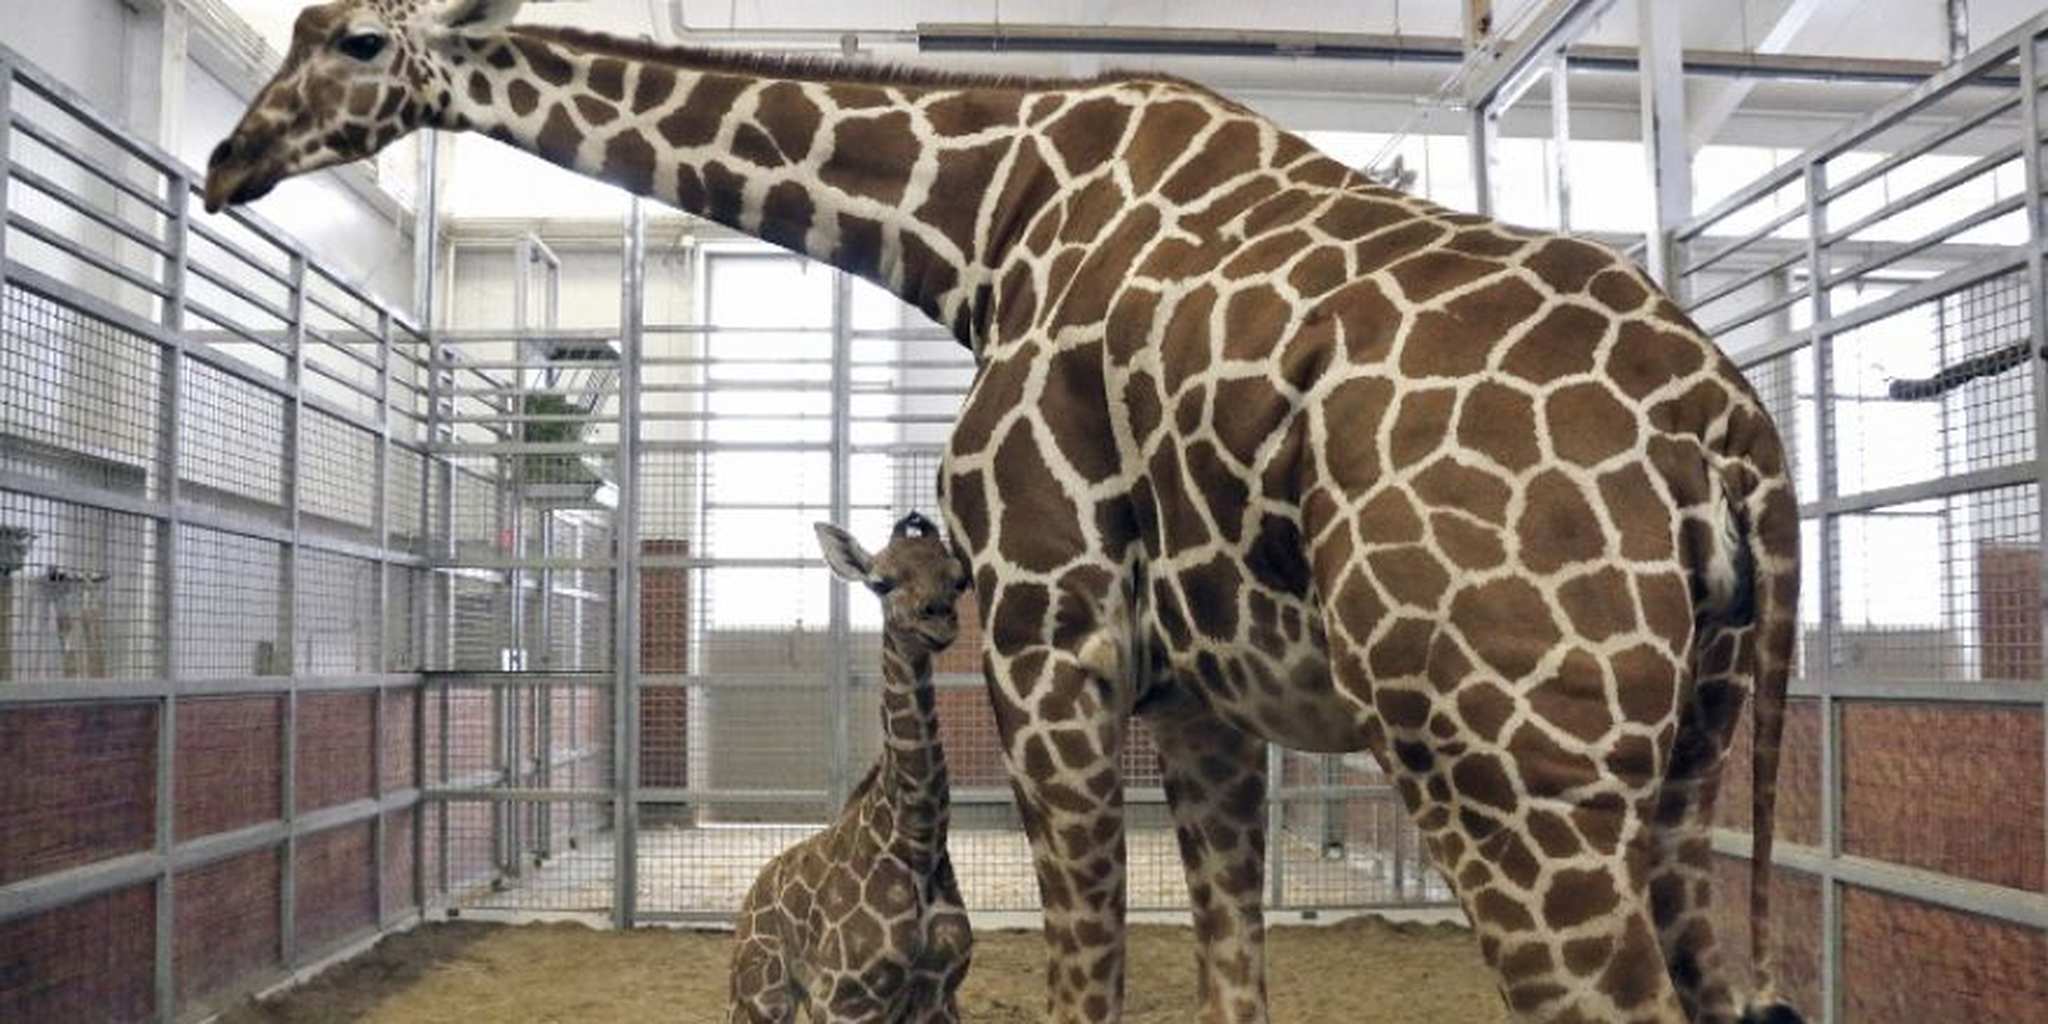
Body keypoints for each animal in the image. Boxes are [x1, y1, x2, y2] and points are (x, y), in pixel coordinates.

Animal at [728, 512, 974, 1023]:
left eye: (959, 580)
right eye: (881, 582)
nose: (938, 619)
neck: (917, 840)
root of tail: (754, 889)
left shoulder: (940, 997)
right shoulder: (845, 998)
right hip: (758, 992)